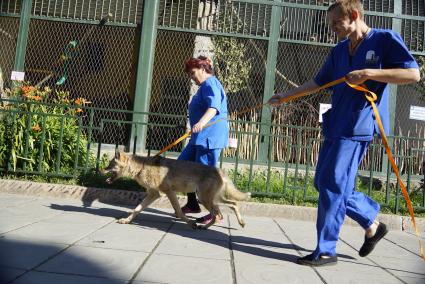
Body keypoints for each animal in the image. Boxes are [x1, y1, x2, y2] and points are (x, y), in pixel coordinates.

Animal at [102, 152, 248, 230]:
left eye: (110, 164)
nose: (101, 169)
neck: (141, 167)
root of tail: (220, 170)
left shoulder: (168, 192)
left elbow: (179, 212)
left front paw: (190, 223)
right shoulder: (153, 194)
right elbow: (136, 209)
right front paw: (126, 220)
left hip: (205, 199)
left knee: (218, 215)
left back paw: (204, 227)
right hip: (213, 199)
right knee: (233, 205)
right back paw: (241, 223)